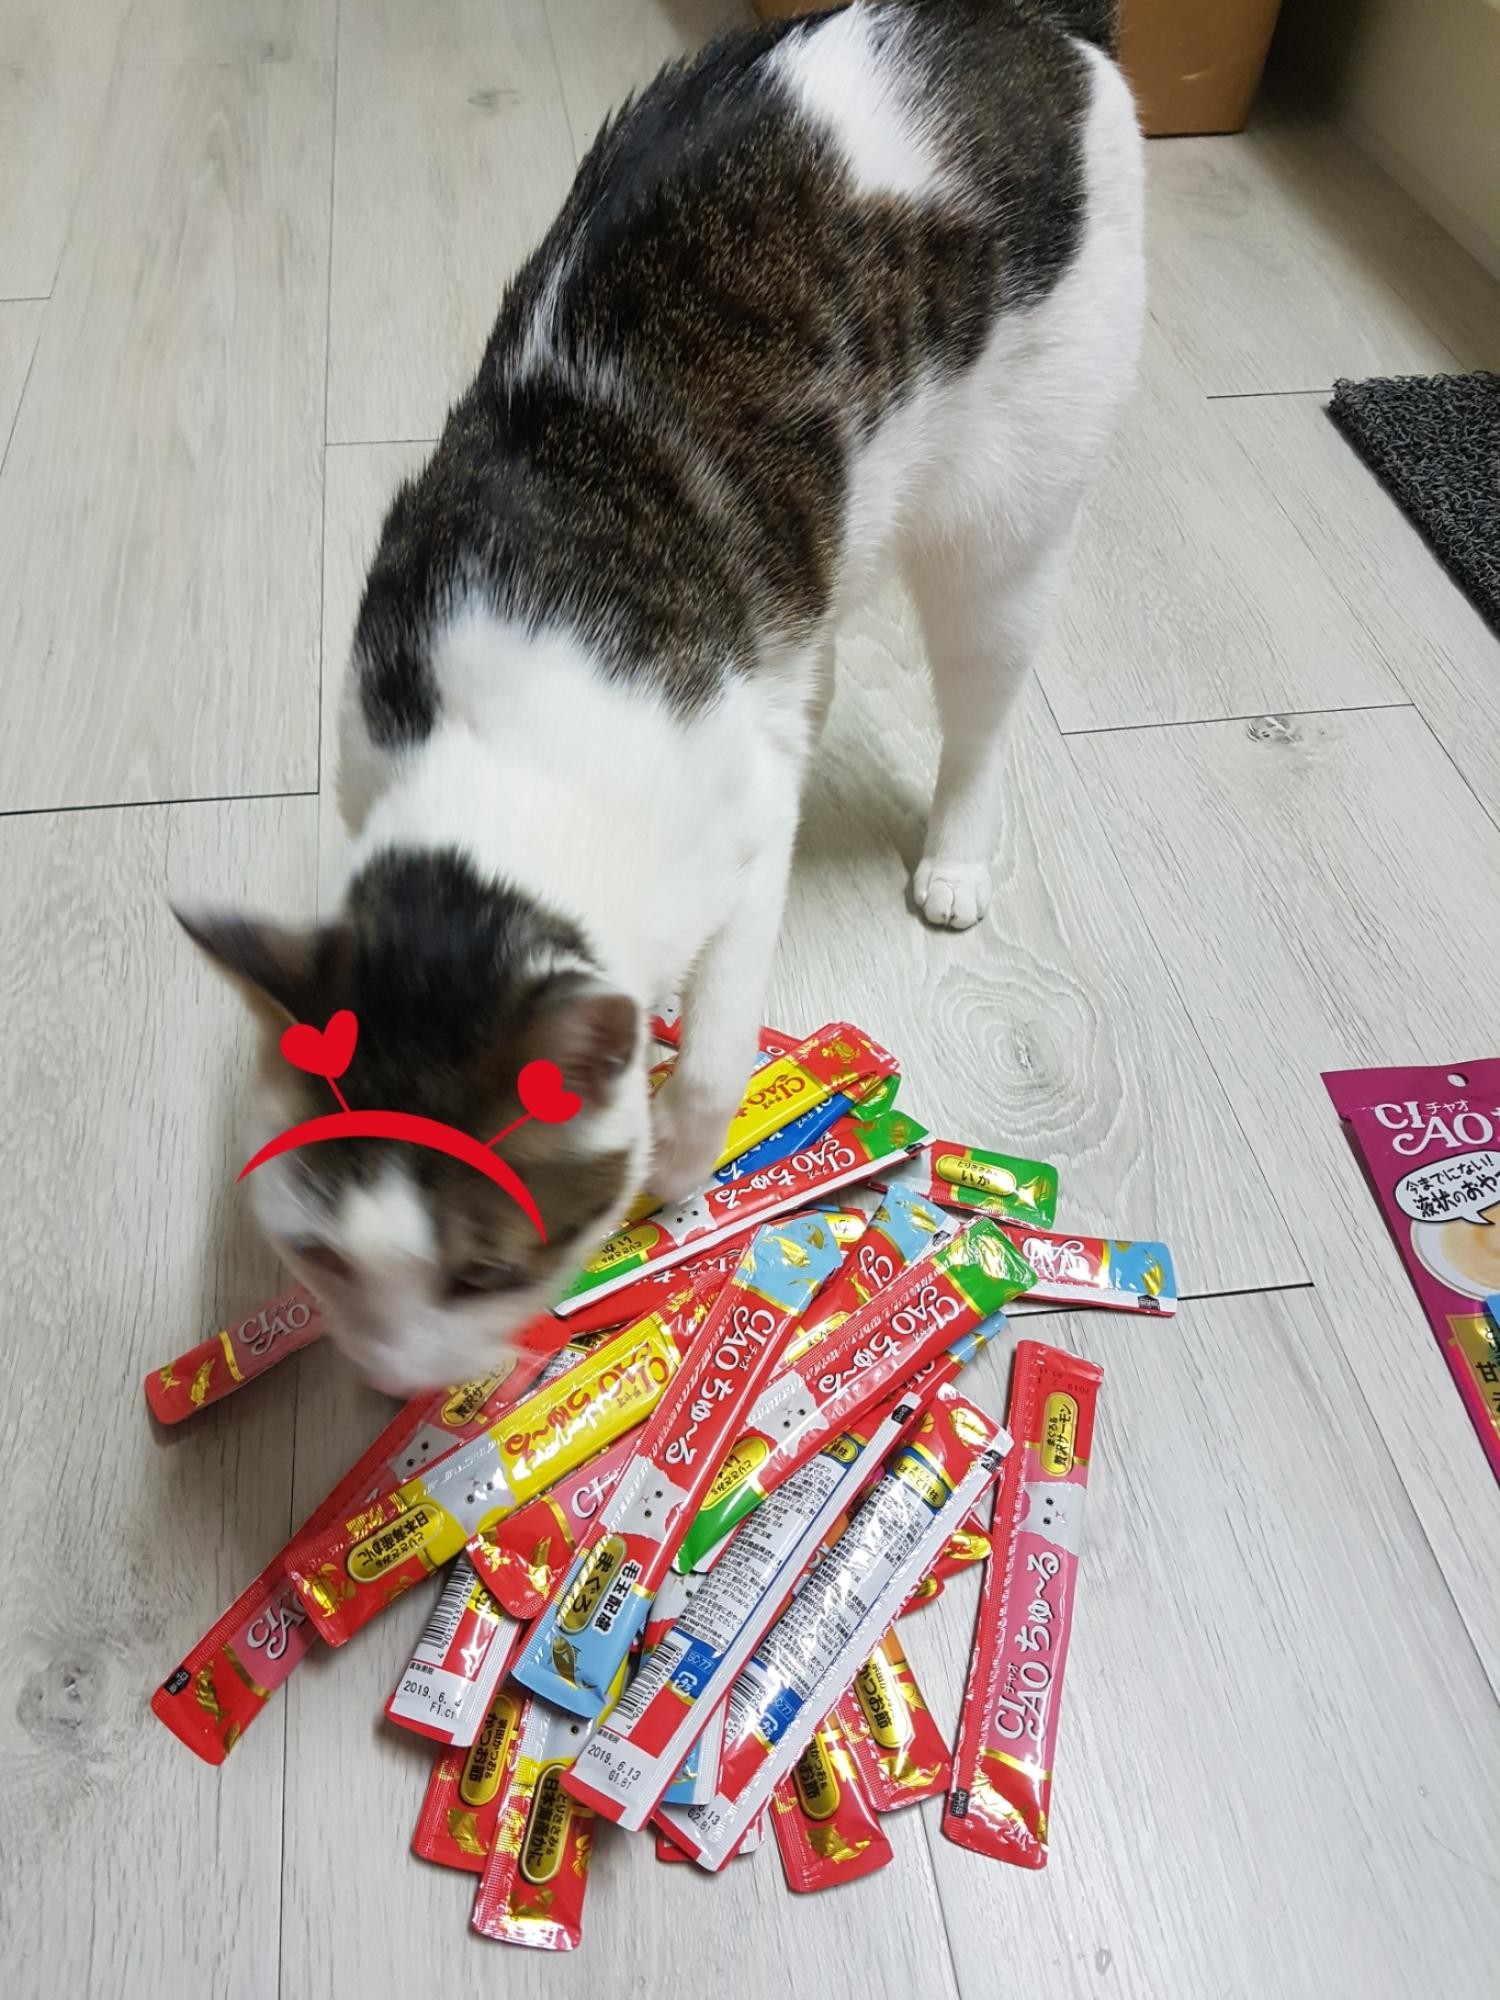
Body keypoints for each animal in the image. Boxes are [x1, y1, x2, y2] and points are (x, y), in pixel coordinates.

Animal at [179, 1, 1144, 1394]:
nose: (399, 1380)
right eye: (320, 1257)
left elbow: (721, 1042)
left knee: (980, 710)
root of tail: (1020, 19)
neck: (513, 754)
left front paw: (684, 1155)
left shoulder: (734, 837)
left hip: (1002, 524)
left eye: (482, 1271)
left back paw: (956, 858)